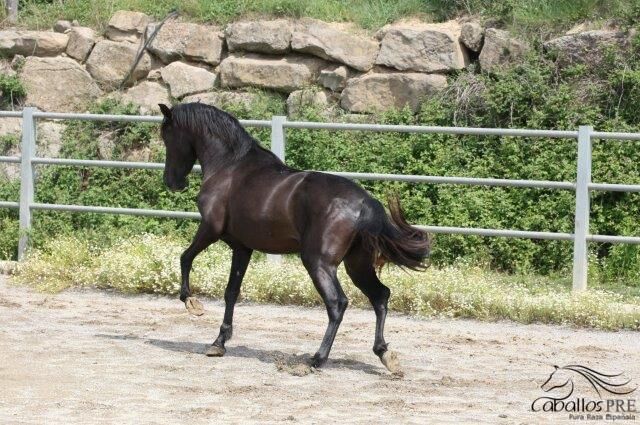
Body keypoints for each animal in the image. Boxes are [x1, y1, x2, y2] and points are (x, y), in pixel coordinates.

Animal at [159, 102, 430, 372]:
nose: (172, 182)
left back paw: (317, 358)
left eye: (167, 135)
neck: (229, 166)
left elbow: (185, 258)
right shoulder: (242, 247)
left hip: (318, 262)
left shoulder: (210, 229)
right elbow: (231, 292)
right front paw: (219, 343)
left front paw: (192, 304)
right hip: (357, 265)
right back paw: (384, 353)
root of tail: (365, 202)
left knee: (337, 303)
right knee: (380, 296)